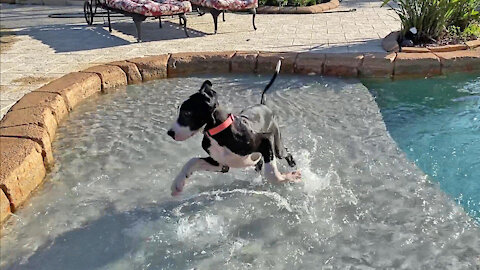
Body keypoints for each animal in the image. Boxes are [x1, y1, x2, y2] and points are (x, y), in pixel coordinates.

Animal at [166, 61, 300, 195]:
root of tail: (263, 105)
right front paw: (177, 184)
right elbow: (193, 161)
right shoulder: (220, 164)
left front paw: (290, 176)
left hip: (276, 146)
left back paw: (293, 165)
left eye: (187, 113)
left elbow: (271, 173)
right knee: (260, 164)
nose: (170, 133)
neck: (219, 133)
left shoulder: (266, 140)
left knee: (285, 153)